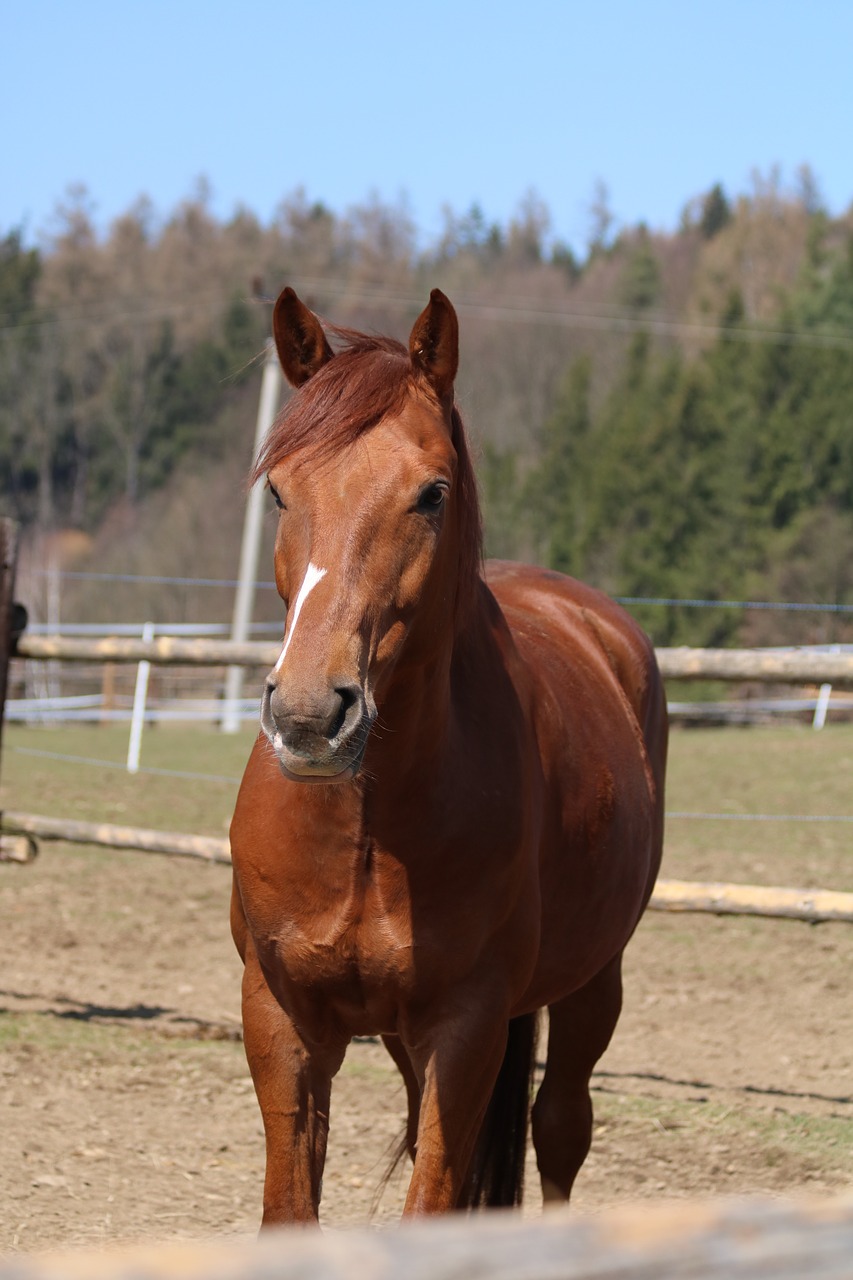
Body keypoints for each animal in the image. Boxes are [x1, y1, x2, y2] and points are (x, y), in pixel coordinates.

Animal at [229, 285, 666, 1223]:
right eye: (278, 492)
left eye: (431, 493)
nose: (310, 716)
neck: (368, 825)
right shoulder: (281, 1020)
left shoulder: (464, 1032)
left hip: (591, 987)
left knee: (559, 1128)